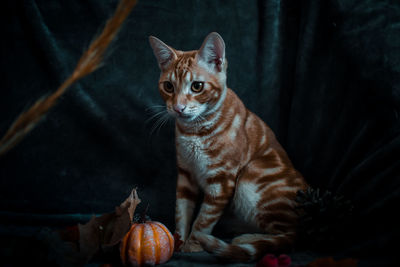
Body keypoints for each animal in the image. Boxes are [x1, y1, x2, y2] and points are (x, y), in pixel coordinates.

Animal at [148, 32, 308, 262]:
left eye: (197, 86)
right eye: (168, 87)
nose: (178, 108)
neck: (193, 132)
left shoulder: (221, 181)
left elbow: (203, 220)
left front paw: (193, 244)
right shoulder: (186, 174)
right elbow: (182, 211)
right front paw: (178, 241)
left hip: (251, 176)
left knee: (288, 236)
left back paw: (246, 239)